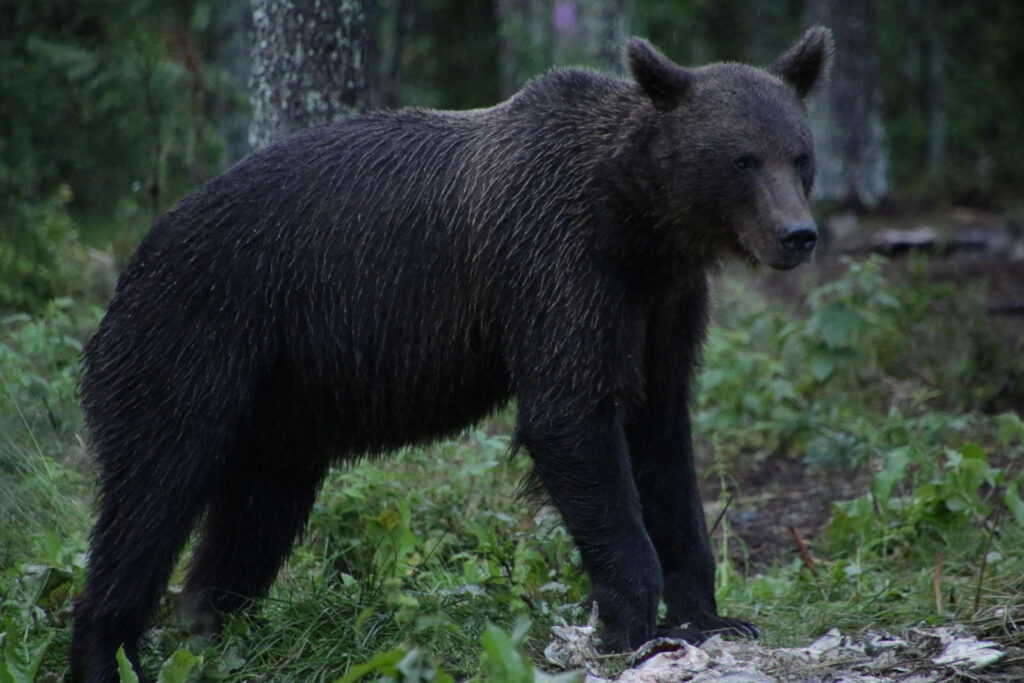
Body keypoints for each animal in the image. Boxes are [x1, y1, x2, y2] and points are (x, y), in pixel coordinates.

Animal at [70, 27, 833, 682]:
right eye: (742, 159)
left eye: (800, 155)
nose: (798, 234)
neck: (639, 223)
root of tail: (134, 261)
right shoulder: (556, 265)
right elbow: (573, 420)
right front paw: (632, 624)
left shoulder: (663, 305)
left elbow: (663, 440)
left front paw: (713, 616)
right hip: (194, 338)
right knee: (150, 495)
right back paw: (107, 647)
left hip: (280, 405)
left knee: (255, 514)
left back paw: (210, 629)